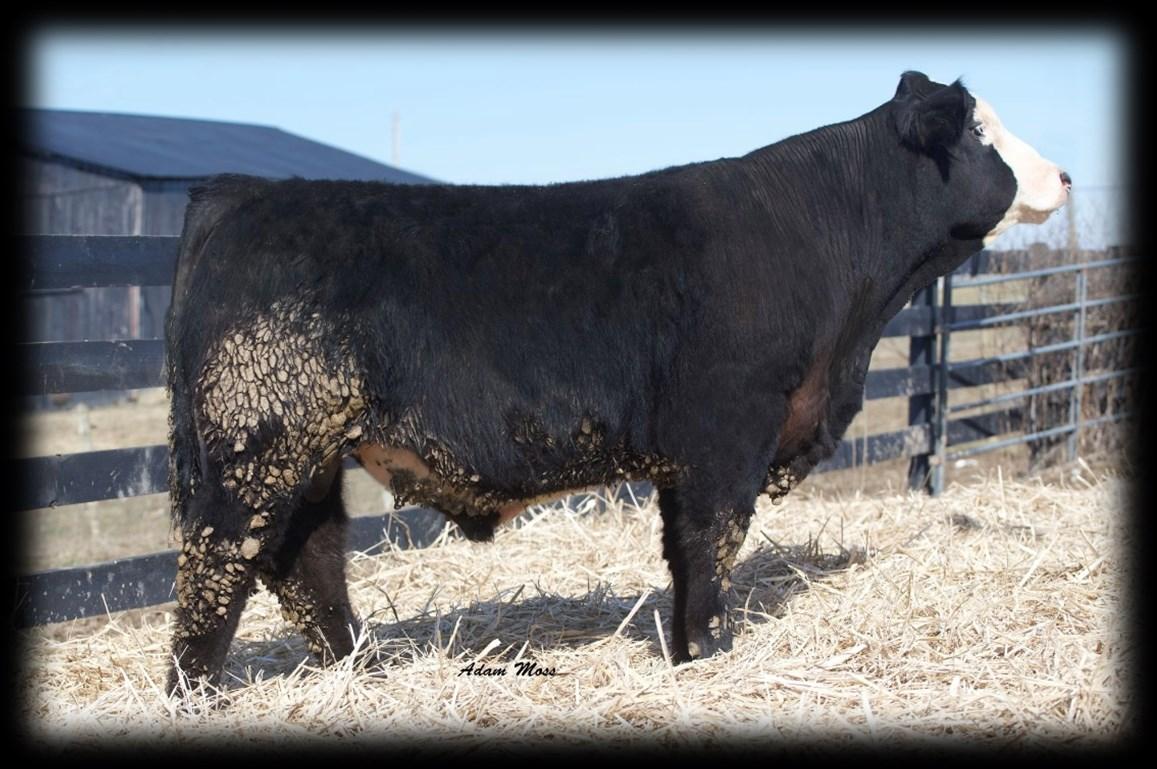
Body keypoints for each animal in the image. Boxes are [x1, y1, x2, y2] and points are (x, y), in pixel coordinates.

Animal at [164, 71, 1069, 693]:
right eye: (981, 129)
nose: (1060, 175)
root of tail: (243, 195)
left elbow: (686, 552)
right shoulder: (723, 435)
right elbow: (709, 546)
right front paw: (706, 652)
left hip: (308, 453)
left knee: (304, 559)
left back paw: (360, 670)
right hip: (258, 443)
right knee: (217, 566)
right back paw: (196, 694)